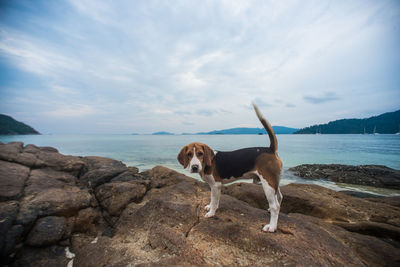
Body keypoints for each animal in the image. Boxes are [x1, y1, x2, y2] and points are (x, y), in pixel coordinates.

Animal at [177, 103, 282, 233]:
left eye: (200, 153)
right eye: (189, 154)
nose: (195, 167)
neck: (207, 163)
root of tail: (270, 149)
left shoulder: (216, 185)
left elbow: (214, 200)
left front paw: (211, 213)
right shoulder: (213, 186)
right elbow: (213, 199)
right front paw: (210, 207)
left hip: (268, 184)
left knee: (275, 206)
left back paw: (272, 226)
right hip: (274, 182)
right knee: (280, 198)